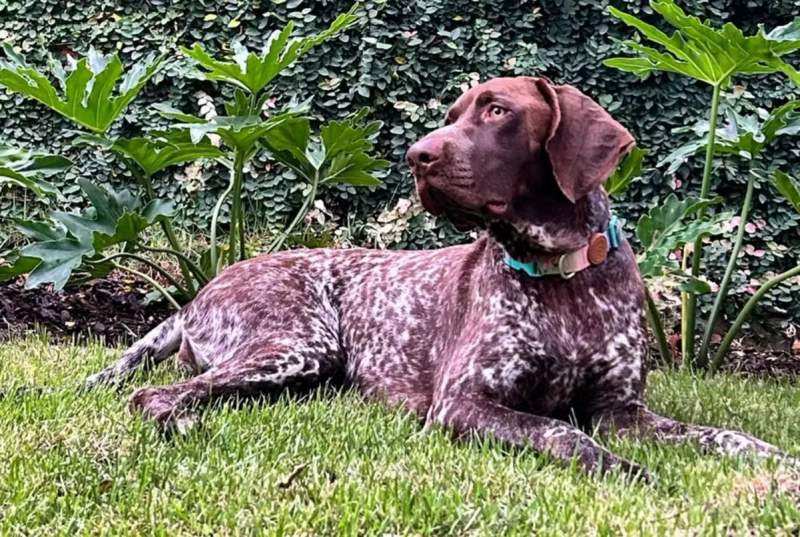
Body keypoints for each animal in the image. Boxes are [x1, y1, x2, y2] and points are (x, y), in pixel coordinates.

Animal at [78, 74, 792, 478]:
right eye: (452, 116)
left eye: (498, 112)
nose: (416, 156)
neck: (558, 273)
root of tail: (203, 289)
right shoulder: (463, 404)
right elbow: (562, 433)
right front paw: (624, 470)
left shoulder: (620, 410)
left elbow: (723, 435)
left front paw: (776, 459)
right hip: (297, 345)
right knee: (158, 396)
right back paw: (185, 424)